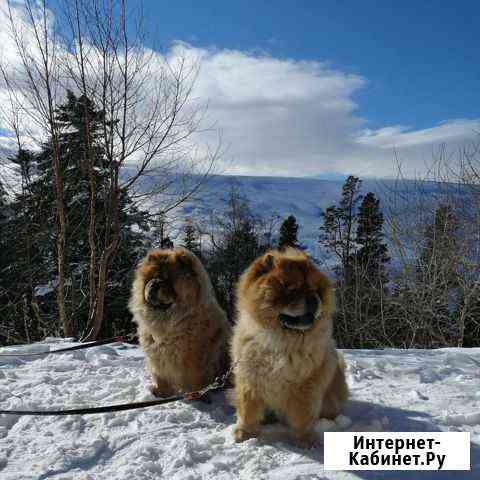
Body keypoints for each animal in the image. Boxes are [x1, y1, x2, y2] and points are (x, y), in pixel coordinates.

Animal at [129, 248, 231, 398]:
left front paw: (195, 395)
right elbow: (161, 376)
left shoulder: (194, 356)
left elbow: (195, 377)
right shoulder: (158, 356)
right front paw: (161, 392)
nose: (154, 283)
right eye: (151, 278)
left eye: (168, 280)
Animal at [231, 248, 346, 446]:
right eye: (291, 288)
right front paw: (244, 433)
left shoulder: (306, 385)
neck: (281, 341)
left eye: (316, 291)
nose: (313, 299)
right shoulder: (249, 380)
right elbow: (248, 409)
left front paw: (306, 440)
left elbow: (303, 415)